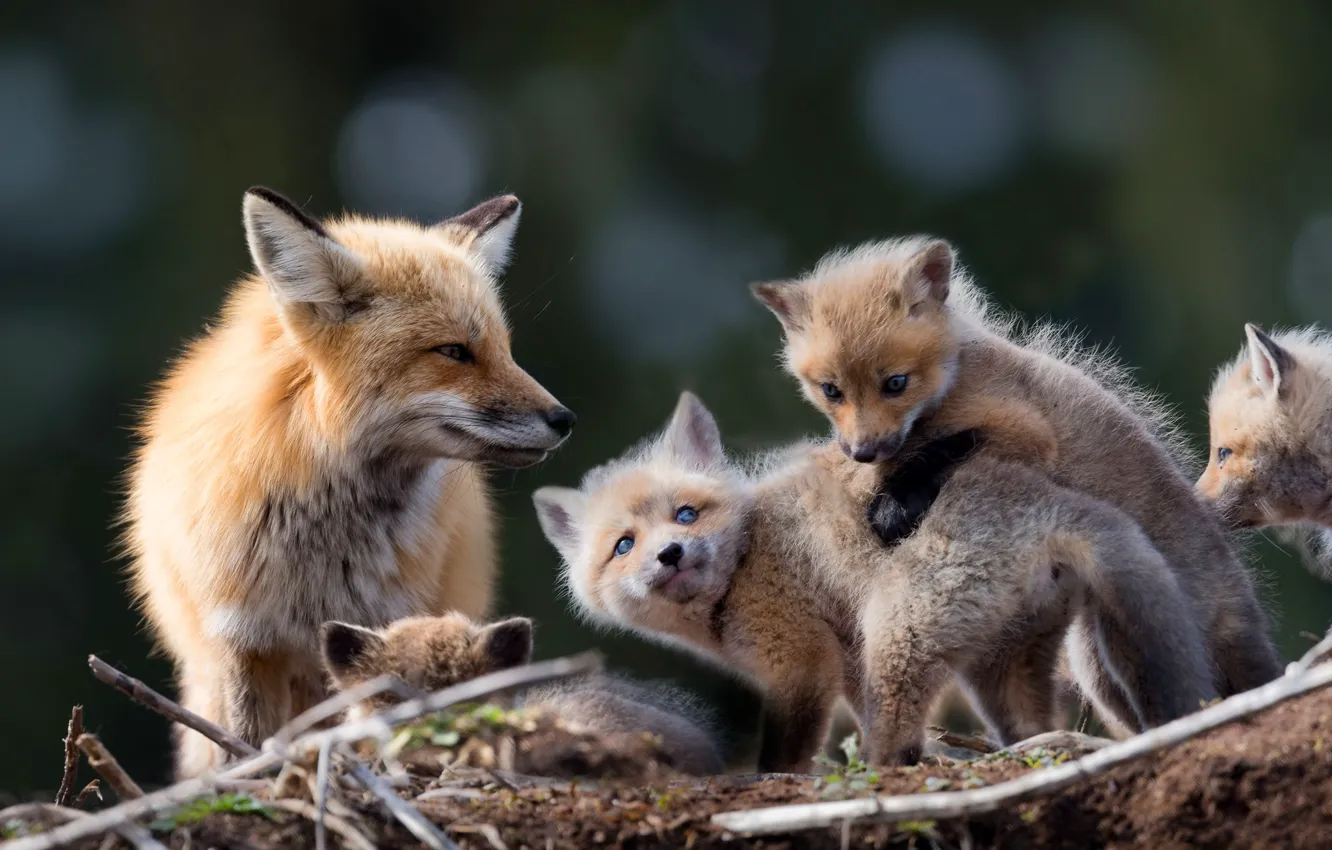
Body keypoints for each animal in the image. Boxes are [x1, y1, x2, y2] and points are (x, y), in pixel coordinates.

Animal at [123, 187, 576, 778]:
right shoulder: (242, 637)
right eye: (454, 351)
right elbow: (244, 744)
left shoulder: (385, 623)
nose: (565, 419)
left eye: (505, 349)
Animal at [533, 392, 1215, 770]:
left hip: (897, 632)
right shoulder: (845, 664)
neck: (746, 563)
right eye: (624, 546)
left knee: (897, 746)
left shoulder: (803, 662)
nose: (670, 555)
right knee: (1020, 727)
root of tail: (1044, 503)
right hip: (998, 666)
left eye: (685, 514)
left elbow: (784, 756)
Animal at [751, 237, 1282, 710]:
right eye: (831, 390)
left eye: (895, 383)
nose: (863, 452)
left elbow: (937, 457)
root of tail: (1239, 594)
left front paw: (893, 508)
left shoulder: (1024, 435)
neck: (957, 377)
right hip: (1096, 666)